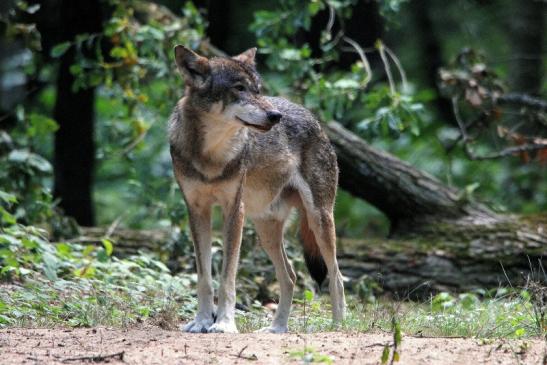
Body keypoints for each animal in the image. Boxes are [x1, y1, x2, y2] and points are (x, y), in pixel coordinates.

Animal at [168, 45, 346, 332]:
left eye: (257, 89)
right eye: (239, 88)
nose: (275, 116)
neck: (210, 155)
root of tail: (313, 118)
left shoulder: (234, 211)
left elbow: (227, 278)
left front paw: (224, 324)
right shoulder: (196, 211)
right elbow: (204, 278)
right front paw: (202, 321)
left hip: (319, 219)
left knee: (336, 275)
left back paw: (337, 325)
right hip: (265, 231)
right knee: (290, 276)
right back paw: (278, 328)